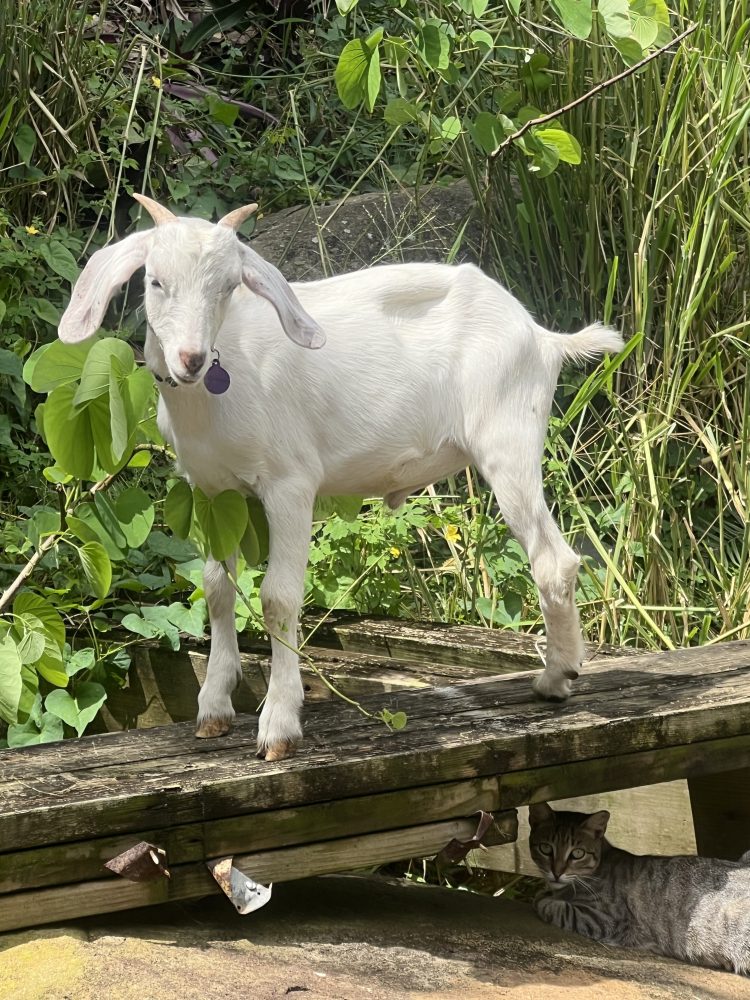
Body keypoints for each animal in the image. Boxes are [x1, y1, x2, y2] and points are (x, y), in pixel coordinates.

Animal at [58, 195, 624, 761]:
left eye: (228, 286)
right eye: (155, 281)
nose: (192, 359)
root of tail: (540, 336)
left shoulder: (289, 483)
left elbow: (279, 597)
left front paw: (279, 724)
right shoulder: (210, 492)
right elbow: (217, 588)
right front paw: (214, 708)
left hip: (507, 437)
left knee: (554, 559)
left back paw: (556, 678)